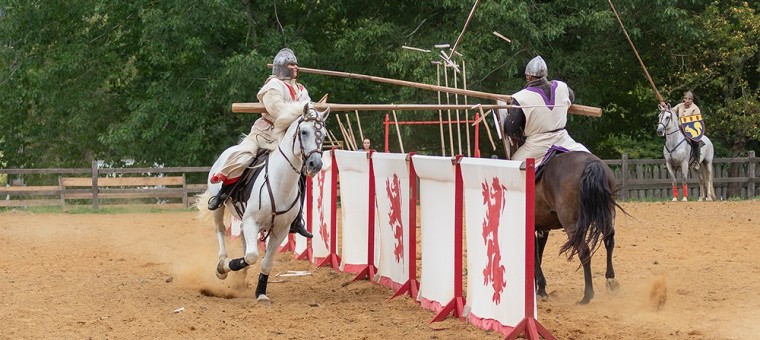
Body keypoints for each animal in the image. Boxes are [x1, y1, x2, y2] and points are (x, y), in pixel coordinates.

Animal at [197, 102, 328, 302]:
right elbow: (251, 256)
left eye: (325, 134)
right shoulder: (252, 221)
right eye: (304, 131)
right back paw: (222, 264)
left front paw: (261, 293)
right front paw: (226, 267)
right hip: (218, 209)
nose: (315, 164)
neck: (279, 183)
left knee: (242, 238)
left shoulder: (280, 230)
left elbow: (265, 262)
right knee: (220, 230)